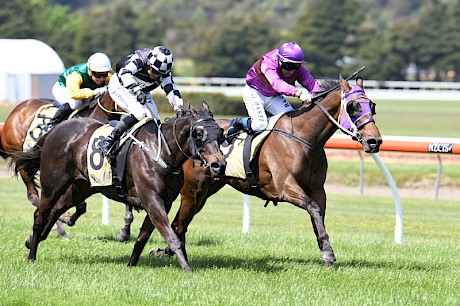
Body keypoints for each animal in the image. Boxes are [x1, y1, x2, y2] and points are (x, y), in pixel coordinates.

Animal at [0, 93, 123, 237]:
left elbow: (80, 206)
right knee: (34, 195)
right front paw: (64, 219)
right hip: (20, 157)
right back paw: (59, 227)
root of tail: (15, 111)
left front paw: (68, 218)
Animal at [15, 101, 227, 272]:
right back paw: (31, 255)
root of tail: (57, 128)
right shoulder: (152, 199)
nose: (219, 165)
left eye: (221, 133)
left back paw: (34, 239)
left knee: (57, 209)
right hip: (53, 184)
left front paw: (131, 264)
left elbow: (142, 238)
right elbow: (171, 236)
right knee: (40, 215)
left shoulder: (163, 202)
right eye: (198, 133)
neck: (162, 152)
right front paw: (187, 268)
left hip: (82, 187)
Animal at [153, 75, 382, 266]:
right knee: (178, 224)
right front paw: (328, 253)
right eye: (352, 107)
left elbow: (317, 214)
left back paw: (169, 252)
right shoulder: (285, 186)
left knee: (181, 223)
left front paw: (325, 249)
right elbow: (313, 207)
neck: (303, 138)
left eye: (372, 105)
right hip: (193, 190)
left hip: (205, 192)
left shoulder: (318, 189)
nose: (375, 141)